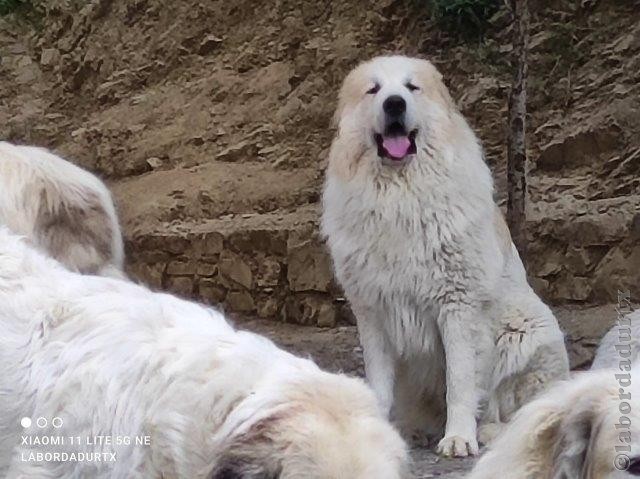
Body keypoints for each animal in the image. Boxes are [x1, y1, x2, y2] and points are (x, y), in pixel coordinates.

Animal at [320, 56, 568, 458]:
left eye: (411, 87)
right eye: (373, 90)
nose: (394, 104)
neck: (399, 194)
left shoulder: (458, 308)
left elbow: (460, 382)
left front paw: (459, 438)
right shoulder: (373, 313)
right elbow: (379, 384)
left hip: (525, 330)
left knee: (510, 409)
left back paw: (487, 433)